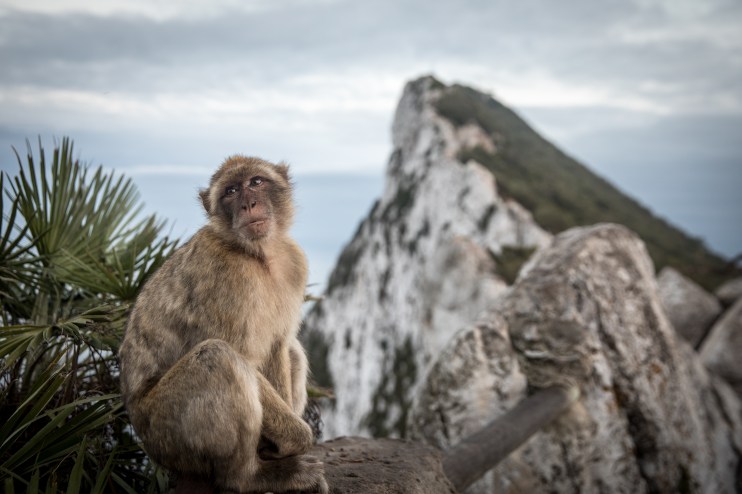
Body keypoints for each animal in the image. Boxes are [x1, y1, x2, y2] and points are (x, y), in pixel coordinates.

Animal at [118, 155, 328, 493]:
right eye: (230, 191)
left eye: (256, 182)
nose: (248, 204)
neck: (258, 256)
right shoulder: (224, 275)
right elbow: (242, 356)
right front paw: (298, 439)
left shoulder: (294, 263)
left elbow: (278, 346)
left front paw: (285, 444)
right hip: (166, 434)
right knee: (218, 357)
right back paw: (251, 476)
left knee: (292, 351)